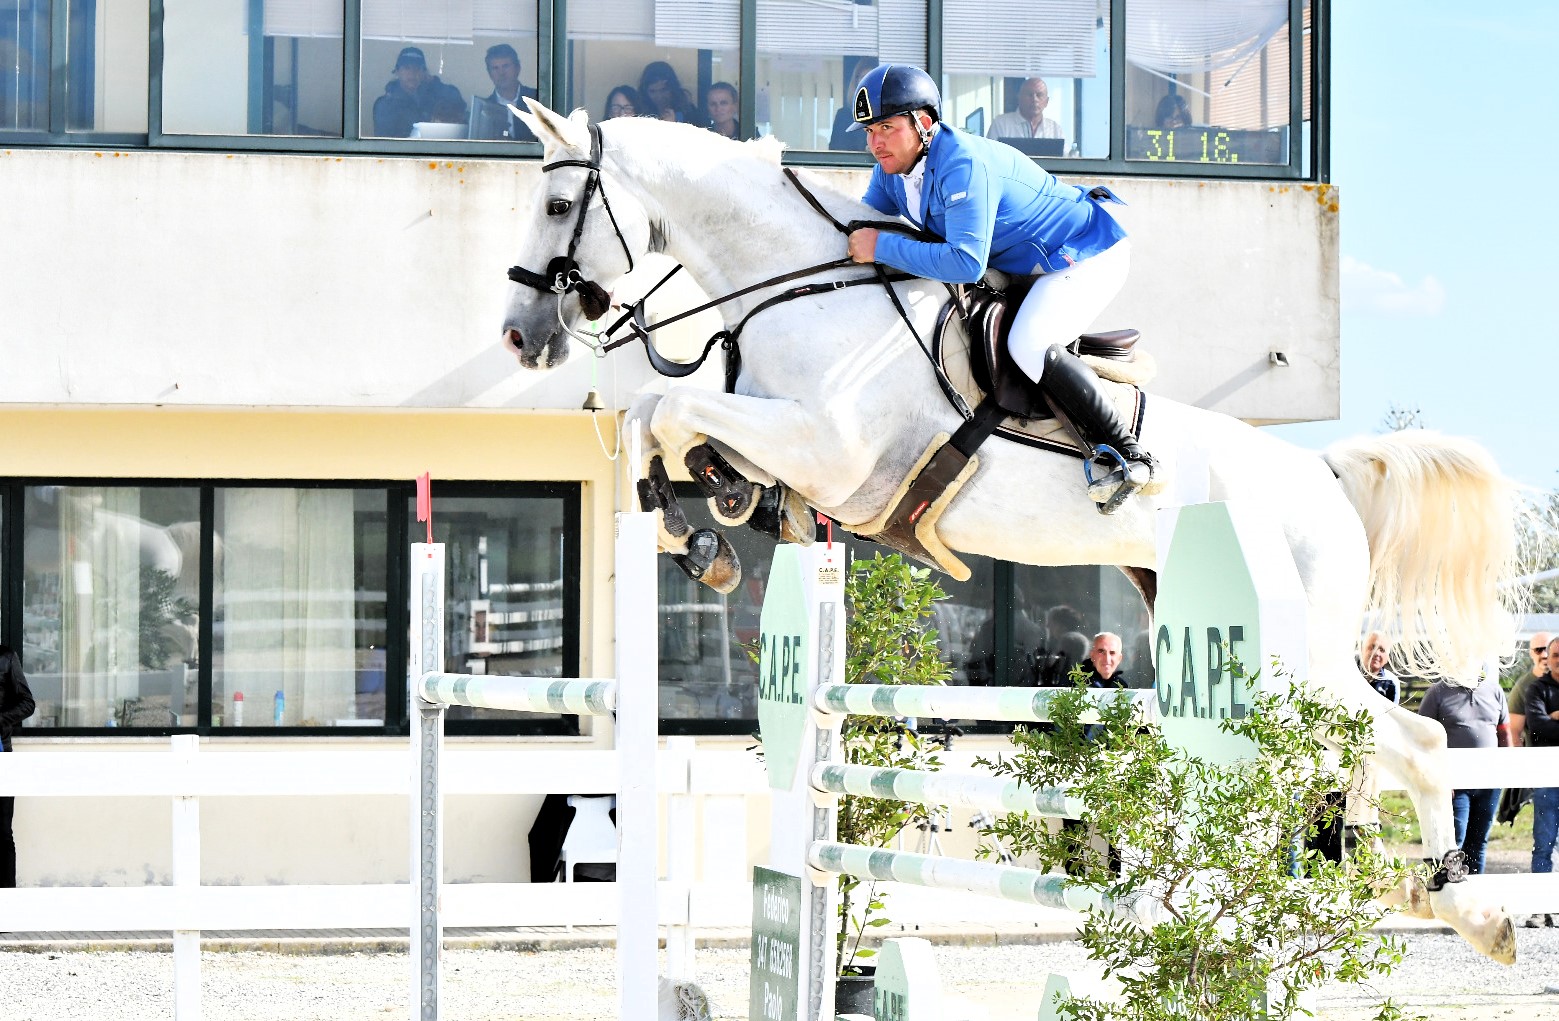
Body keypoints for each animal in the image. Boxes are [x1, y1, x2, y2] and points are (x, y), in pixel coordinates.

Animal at [501, 105, 1521, 966]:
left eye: (556, 204)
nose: (519, 337)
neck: (803, 287)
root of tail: (1321, 471)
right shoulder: (788, 442)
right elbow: (659, 416)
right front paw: (703, 521)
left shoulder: (831, 449)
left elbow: (666, 403)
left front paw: (696, 528)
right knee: (1363, 748)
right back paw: (1422, 895)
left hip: (1294, 650)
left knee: (1407, 739)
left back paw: (1465, 908)